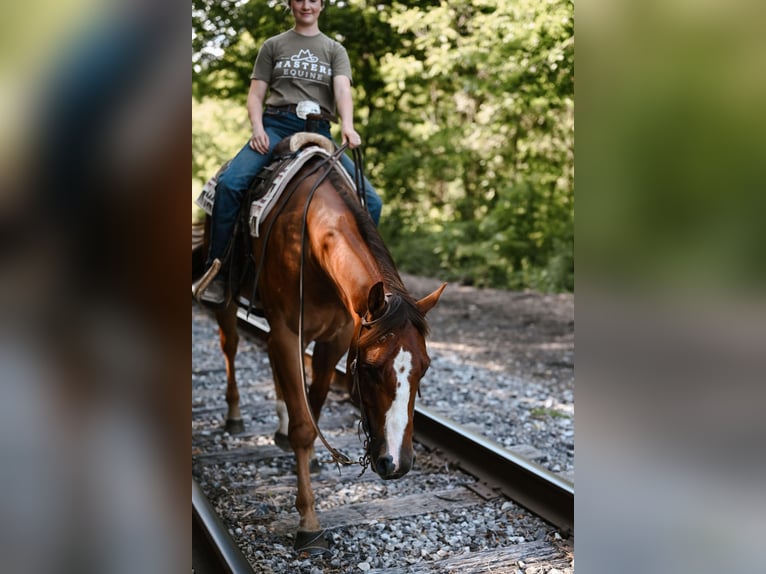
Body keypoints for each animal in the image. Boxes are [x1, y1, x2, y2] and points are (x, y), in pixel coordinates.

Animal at [201, 133, 448, 556]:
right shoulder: (287, 331)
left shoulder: (333, 341)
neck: (312, 241)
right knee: (230, 346)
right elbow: (305, 425)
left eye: (425, 367)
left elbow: (311, 409)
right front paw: (309, 524)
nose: (397, 463)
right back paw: (234, 415)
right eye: (370, 368)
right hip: (231, 301)